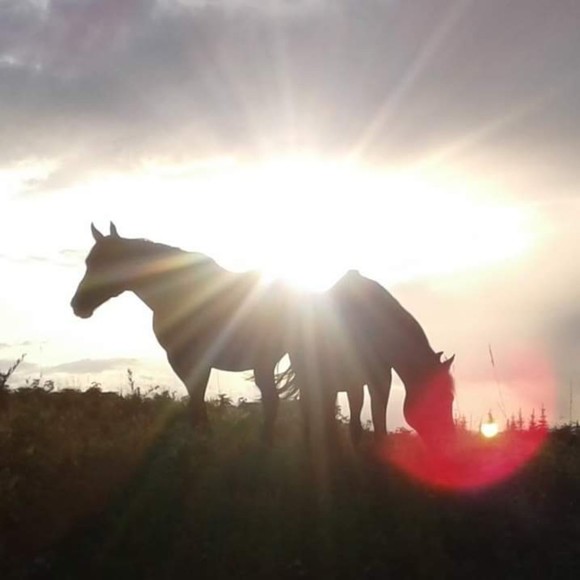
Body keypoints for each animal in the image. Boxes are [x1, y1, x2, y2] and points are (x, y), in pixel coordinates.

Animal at [72, 224, 296, 442]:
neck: (180, 293)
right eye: (89, 261)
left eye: (107, 261)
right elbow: (195, 399)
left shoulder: (187, 359)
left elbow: (196, 399)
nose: (77, 305)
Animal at [288, 270, 456, 454]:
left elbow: (380, 424)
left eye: (450, 398)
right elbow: (355, 427)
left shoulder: (381, 383)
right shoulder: (354, 385)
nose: (449, 440)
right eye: (442, 398)